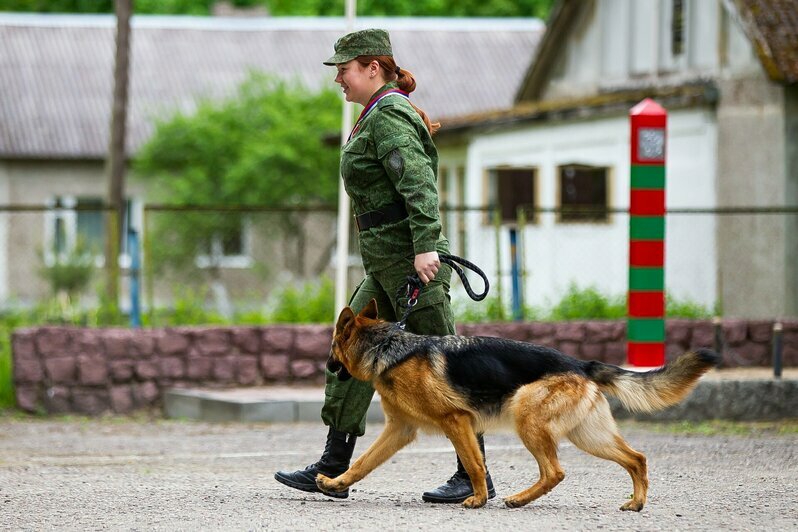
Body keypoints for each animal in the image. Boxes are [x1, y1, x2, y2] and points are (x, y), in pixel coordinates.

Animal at [320, 300, 724, 512]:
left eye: (332, 345)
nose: (326, 367)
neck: (387, 348)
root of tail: (581, 364)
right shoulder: (399, 431)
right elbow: (362, 463)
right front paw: (335, 482)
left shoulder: (456, 421)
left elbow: (474, 464)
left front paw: (479, 499)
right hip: (587, 436)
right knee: (636, 458)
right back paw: (635, 503)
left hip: (526, 417)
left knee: (555, 472)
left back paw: (518, 498)